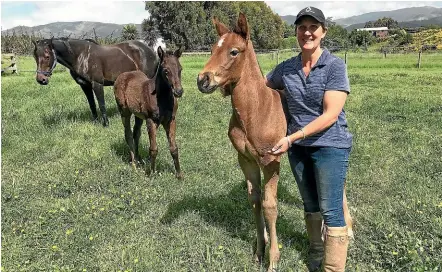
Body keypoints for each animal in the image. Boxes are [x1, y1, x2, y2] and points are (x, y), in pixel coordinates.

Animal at [114, 45, 185, 180]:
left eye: (180, 69)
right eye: (166, 70)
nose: (179, 92)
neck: (162, 99)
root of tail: (123, 75)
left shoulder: (171, 120)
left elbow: (174, 148)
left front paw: (179, 175)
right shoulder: (151, 121)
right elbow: (153, 148)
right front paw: (151, 173)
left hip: (138, 115)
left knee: (136, 133)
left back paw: (138, 158)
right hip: (124, 111)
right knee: (128, 134)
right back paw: (134, 164)